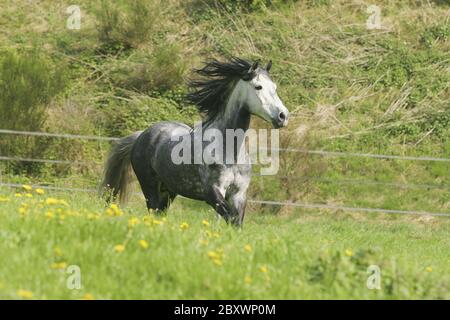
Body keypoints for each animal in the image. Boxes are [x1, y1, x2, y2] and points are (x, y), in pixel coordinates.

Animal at [100, 57, 288, 225]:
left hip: (168, 190)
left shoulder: (239, 194)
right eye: (258, 86)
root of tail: (141, 135)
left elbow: (236, 223)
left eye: (275, 87)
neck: (230, 150)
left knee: (160, 213)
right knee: (153, 210)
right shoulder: (213, 192)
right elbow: (227, 217)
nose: (283, 116)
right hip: (149, 186)